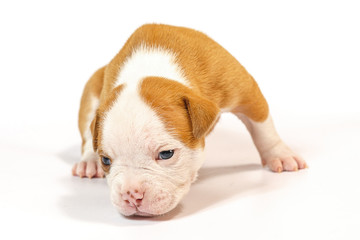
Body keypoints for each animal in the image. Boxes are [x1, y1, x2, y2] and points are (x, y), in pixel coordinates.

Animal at [72, 23, 306, 216]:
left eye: (166, 154)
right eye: (106, 160)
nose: (131, 194)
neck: (150, 68)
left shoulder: (245, 91)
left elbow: (262, 125)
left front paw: (280, 154)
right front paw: (94, 160)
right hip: (93, 87)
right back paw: (87, 162)